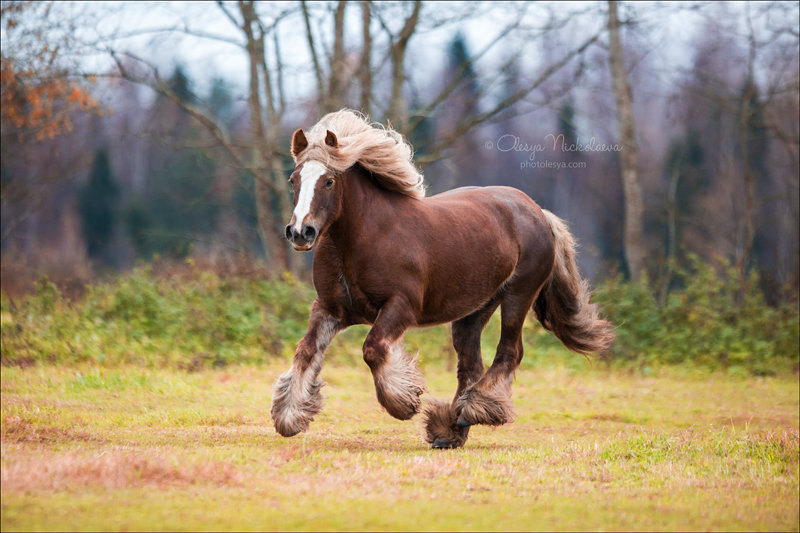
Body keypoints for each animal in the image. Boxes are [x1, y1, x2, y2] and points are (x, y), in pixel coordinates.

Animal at [272, 110, 616, 446]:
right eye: (293, 179)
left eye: (329, 180)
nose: (301, 232)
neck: (362, 239)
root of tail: (539, 212)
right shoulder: (329, 309)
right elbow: (306, 351)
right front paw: (290, 416)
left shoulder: (401, 307)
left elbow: (373, 349)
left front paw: (404, 402)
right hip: (474, 310)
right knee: (470, 364)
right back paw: (452, 428)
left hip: (519, 295)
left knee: (509, 352)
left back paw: (476, 409)